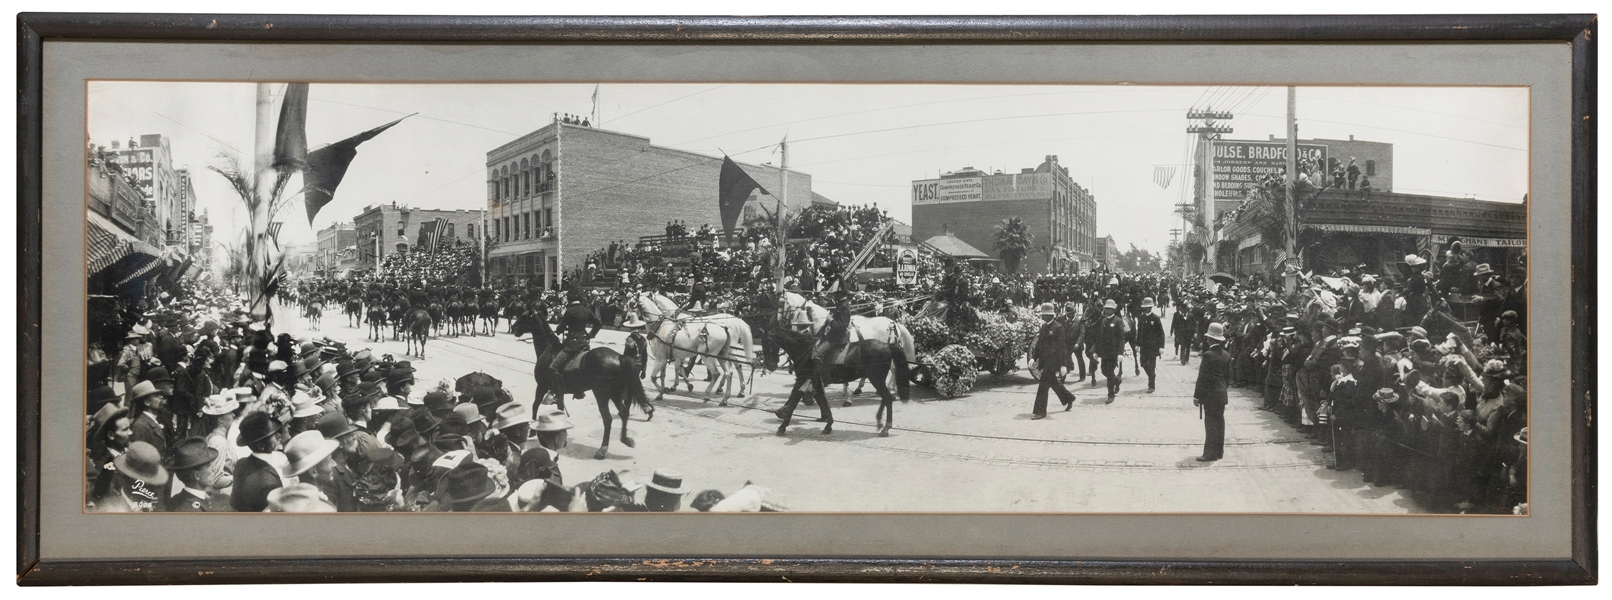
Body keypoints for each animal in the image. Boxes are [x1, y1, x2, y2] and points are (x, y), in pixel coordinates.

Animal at [509, 311, 648, 458]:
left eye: (524, 316)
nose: (514, 328)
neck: (549, 348)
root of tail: (619, 357)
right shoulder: (556, 390)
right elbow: (559, 408)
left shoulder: (542, 385)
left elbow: (535, 405)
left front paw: (532, 431)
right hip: (614, 393)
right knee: (624, 412)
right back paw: (625, 439)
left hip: (601, 394)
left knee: (608, 418)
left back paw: (602, 449)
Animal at [767, 327, 909, 435]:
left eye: (768, 343)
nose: (770, 365)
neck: (806, 352)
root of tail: (887, 345)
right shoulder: (814, 381)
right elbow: (820, 399)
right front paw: (827, 422)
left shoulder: (804, 379)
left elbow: (796, 397)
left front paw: (783, 424)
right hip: (877, 379)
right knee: (885, 397)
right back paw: (880, 422)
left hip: (876, 378)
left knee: (887, 398)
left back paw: (886, 428)